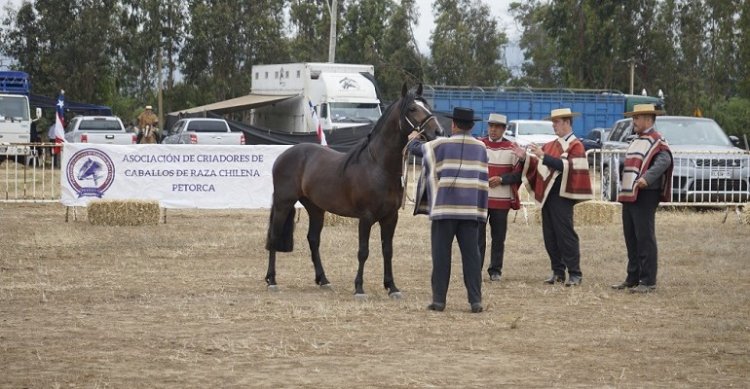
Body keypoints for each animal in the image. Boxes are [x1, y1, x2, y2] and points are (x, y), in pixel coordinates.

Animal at [266, 83, 444, 296]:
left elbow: (387, 251)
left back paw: (323, 280)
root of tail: (284, 155)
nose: (439, 132)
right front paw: (359, 287)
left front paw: (392, 287)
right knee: (274, 236)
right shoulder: (366, 218)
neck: (378, 166)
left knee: (313, 239)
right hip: (283, 203)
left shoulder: (391, 217)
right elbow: (363, 251)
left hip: (315, 208)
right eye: (412, 109)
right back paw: (272, 280)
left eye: (427, 106)